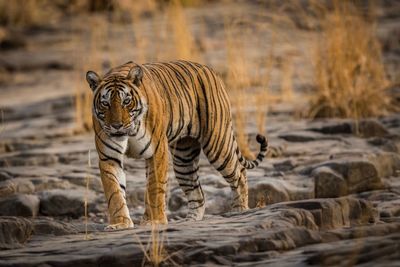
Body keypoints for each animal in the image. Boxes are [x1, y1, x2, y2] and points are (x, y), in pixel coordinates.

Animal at [87, 60, 268, 230]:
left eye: (126, 101)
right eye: (105, 103)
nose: (117, 126)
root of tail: (210, 70)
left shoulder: (157, 151)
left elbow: (154, 187)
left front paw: (155, 221)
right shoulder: (109, 157)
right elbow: (114, 191)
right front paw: (120, 223)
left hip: (217, 144)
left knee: (240, 173)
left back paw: (239, 210)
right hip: (184, 160)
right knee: (198, 193)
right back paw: (190, 221)